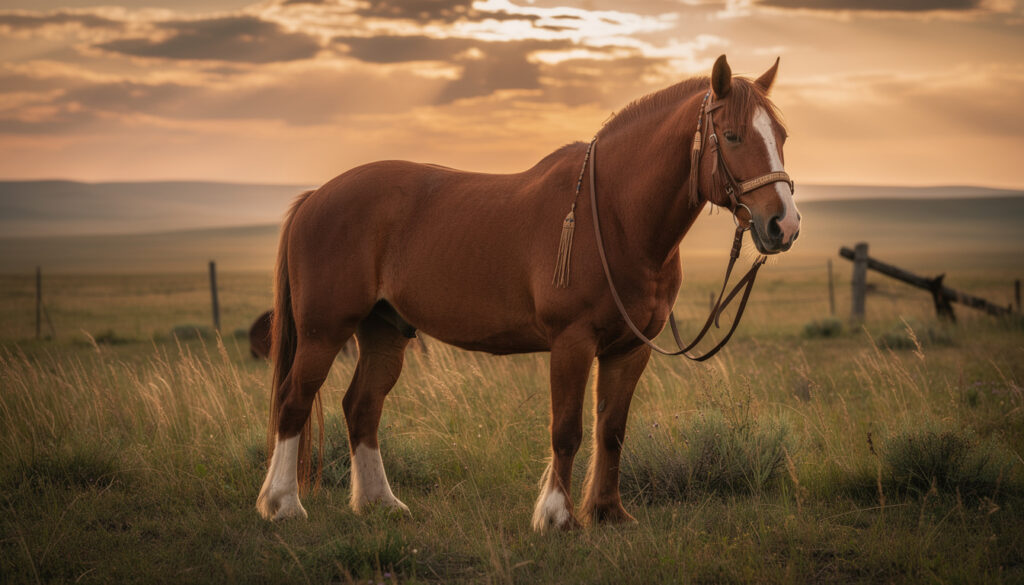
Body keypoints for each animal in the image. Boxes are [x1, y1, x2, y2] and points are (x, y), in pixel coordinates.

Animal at [256, 55, 800, 531]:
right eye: (731, 136)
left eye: (781, 136)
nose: (783, 225)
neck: (614, 217)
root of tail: (315, 198)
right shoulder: (572, 342)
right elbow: (567, 430)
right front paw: (557, 516)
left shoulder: (628, 350)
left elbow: (612, 430)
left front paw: (608, 513)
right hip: (324, 332)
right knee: (294, 402)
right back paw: (284, 505)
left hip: (384, 331)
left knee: (362, 407)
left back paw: (380, 503)